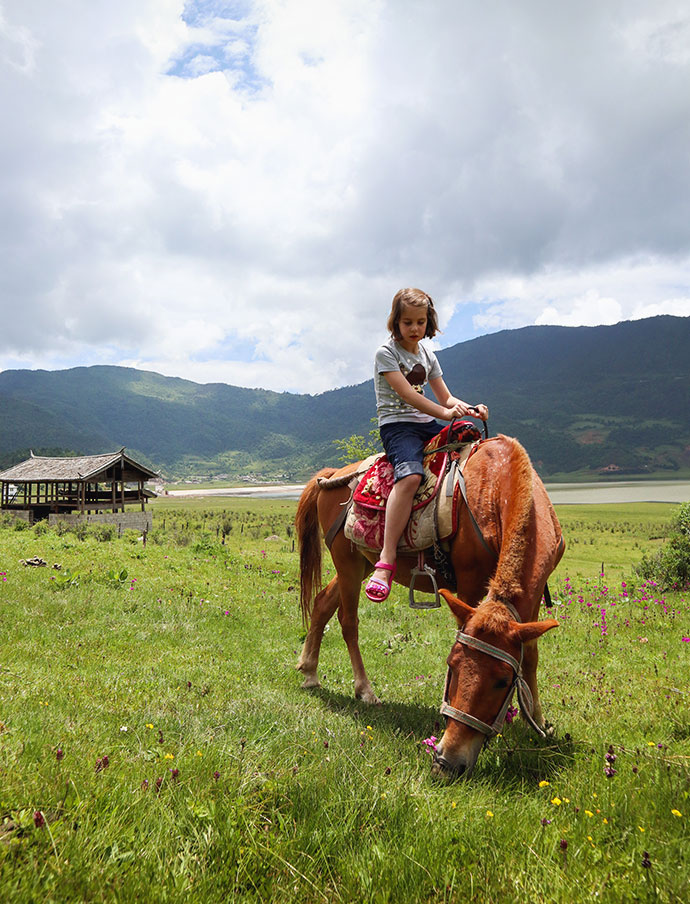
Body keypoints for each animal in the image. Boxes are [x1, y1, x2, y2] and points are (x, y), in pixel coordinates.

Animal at [292, 436, 560, 776]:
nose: (447, 760)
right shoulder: (470, 582)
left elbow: (531, 655)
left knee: (322, 602)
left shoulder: (534, 594)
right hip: (347, 562)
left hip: (362, 563)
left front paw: (536, 720)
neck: (498, 486)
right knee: (348, 621)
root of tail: (333, 475)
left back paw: (310, 671)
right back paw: (365, 690)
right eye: (452, 666)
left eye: (502, 682)